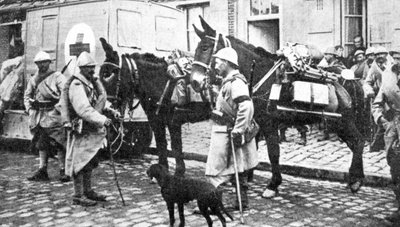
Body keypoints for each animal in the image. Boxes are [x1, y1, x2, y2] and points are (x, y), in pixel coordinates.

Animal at [99, 37, 209, 176]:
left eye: (108, 74)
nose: (104, 109)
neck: (161, 81)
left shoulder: (173, 122)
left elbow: (176, 147)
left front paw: (178, 173)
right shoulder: (155, 121)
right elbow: (161, 144)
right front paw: (162, 171)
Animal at [191, 16, 366, 197]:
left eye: (205, 48)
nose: (194, 81)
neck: (262, 76)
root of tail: (354, 81)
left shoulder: (269, 123)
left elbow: (273, 152)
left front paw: (272, 185)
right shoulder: (255, 121)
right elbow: (253, 146)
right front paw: (245, 176)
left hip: (343, 122)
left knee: (358, 142)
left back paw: (355, 181)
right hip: (338, 124)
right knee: (355, 144)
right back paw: (355, 179)